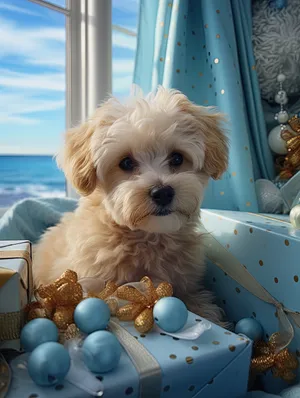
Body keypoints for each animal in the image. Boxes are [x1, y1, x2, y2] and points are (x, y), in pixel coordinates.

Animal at [32, 87, 229, 324]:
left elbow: (195, 299)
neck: (147, 237)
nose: (162, 193)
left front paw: (209, 314)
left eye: (177, 158)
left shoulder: (186, 282)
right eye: (126, 162)